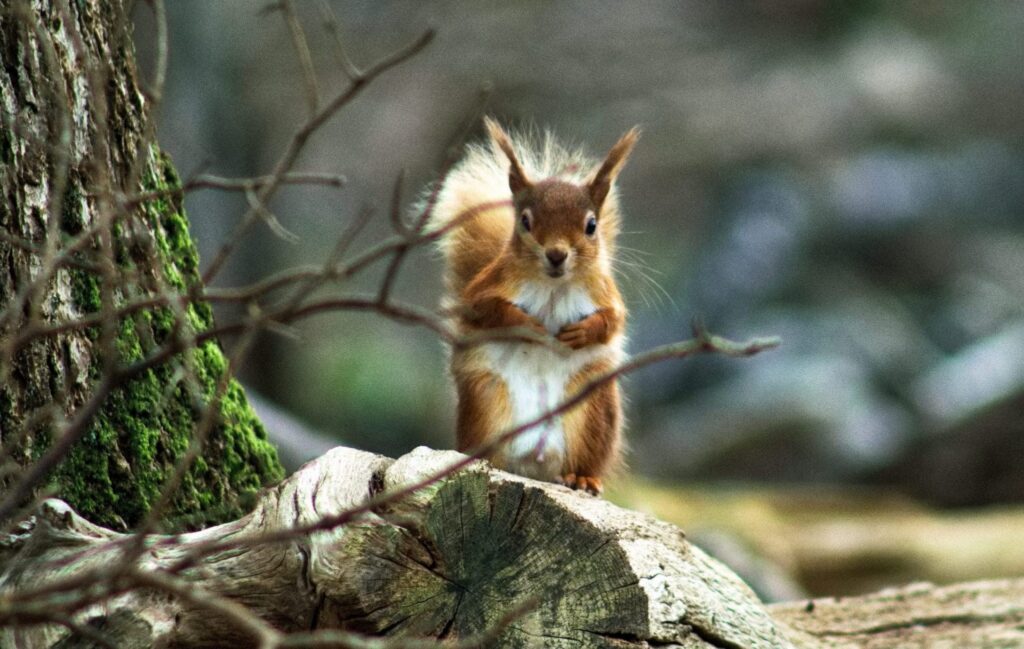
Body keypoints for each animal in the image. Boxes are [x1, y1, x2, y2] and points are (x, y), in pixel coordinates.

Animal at [427, 118, 639, 495]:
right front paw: (527, 324)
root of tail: (535, 461)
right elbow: (484, 309)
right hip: (486, 400)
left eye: (591, 225)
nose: (556, 254)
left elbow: (613, 321)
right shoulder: (488, 285)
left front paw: (583, 332)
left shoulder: (605, 293)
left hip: (592, 408)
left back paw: (582, 478)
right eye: (525, 221)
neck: (553, 286)